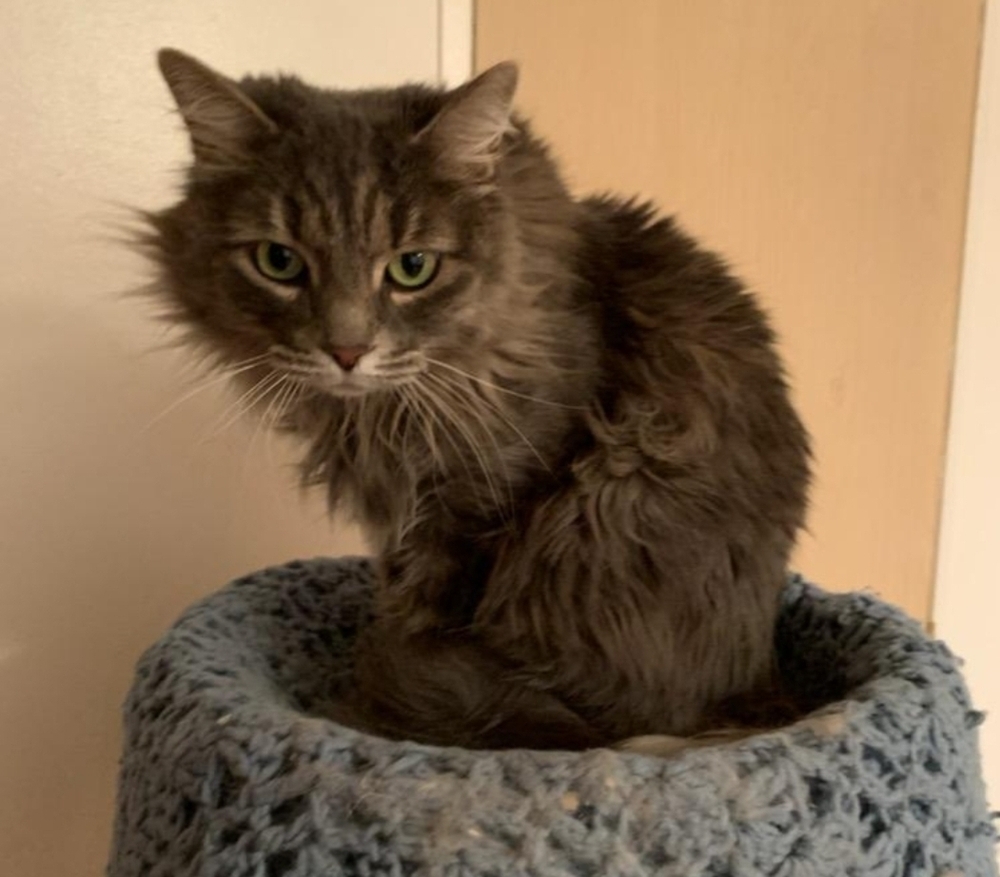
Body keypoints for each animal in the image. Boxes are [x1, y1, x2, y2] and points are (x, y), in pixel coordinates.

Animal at [146, 49, 812, 744]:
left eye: (413, 268)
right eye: (278, 262)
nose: (347, 350)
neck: (381, 413)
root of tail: (757, 686)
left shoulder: (479, 505)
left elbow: (423, 616)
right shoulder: (400, 520)